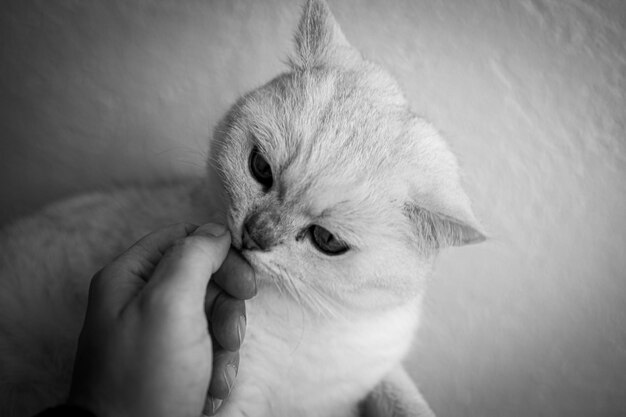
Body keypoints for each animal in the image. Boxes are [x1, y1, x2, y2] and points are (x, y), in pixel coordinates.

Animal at [0, 0, 482, 416]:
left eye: (326, 240)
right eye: (260, 169)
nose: (254, 234)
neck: (319, 321)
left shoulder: (379, 379)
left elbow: (407, 401)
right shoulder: (238, 398)